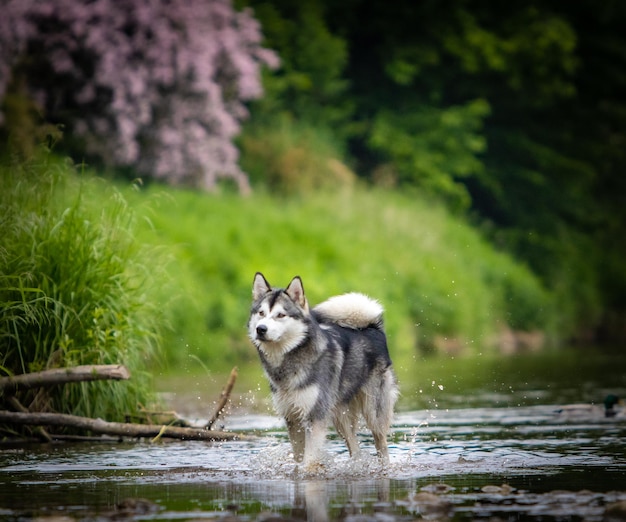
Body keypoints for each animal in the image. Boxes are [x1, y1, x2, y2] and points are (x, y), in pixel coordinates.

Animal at [246, 272, 398, 464]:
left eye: (281, 315)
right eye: (261, 313)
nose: (261, 329)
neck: (289, 361)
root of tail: (373, 328)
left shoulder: (314, 417)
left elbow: (309, 461)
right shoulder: (292, 418)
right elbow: (299, 458)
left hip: (374, 413)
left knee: (381, 443)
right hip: (340, 417)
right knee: (354, 447)